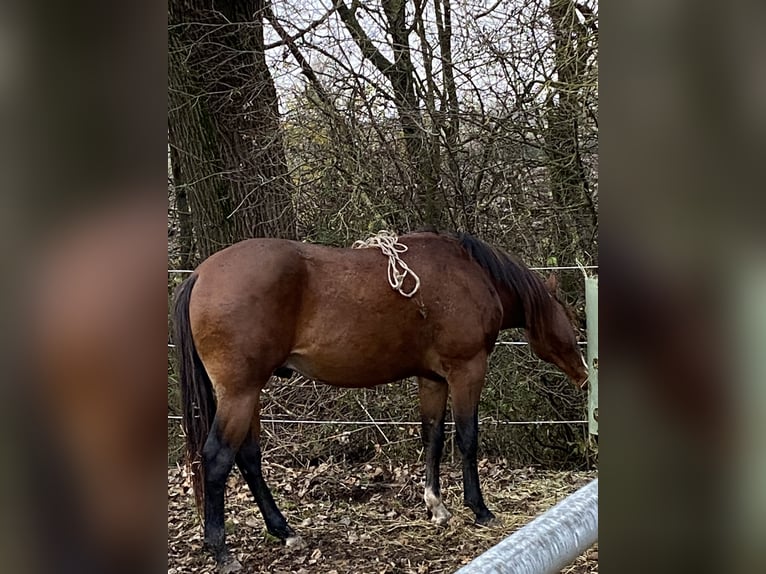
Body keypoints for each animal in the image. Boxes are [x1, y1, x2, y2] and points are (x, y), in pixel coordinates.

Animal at [172, 231, 587, 572]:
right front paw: (479, 509)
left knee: (248, 458)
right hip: (240, 393)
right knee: (217, 459)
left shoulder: (433, 378)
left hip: (249, 394)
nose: (584, 372)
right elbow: (467, 438)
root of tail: (200, 275)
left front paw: (436, 506)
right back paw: (221, 551)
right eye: (569, 316)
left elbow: (433, 437)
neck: (469, 273)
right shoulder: (466, 371)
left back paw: (284, 530)